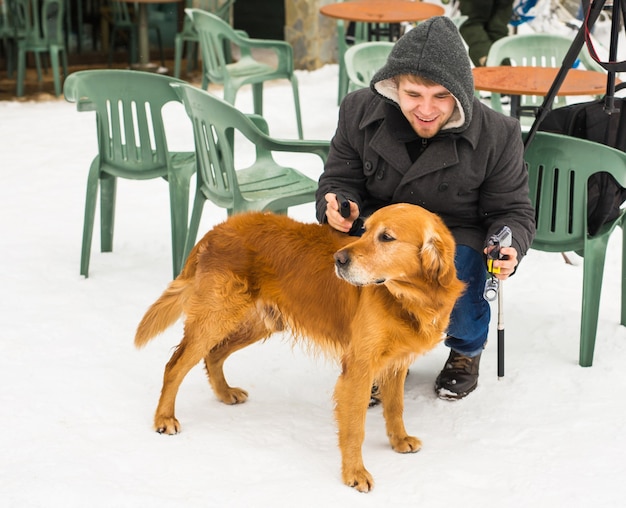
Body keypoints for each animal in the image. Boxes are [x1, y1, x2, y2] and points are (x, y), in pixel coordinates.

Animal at [135, 202, 464, 492]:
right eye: (365, 230)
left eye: (386, 237)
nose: (338, 260)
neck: (408, 297)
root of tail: (217, 229)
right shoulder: (358, 368)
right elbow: (354, 428)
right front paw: (354, 473)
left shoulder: (396, 362)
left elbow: (395, 407)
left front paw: (398, 441)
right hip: (217, 317)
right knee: (175, 365)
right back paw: (164, 418)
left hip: (259, 322)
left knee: (214, 354)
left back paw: (224, 393)